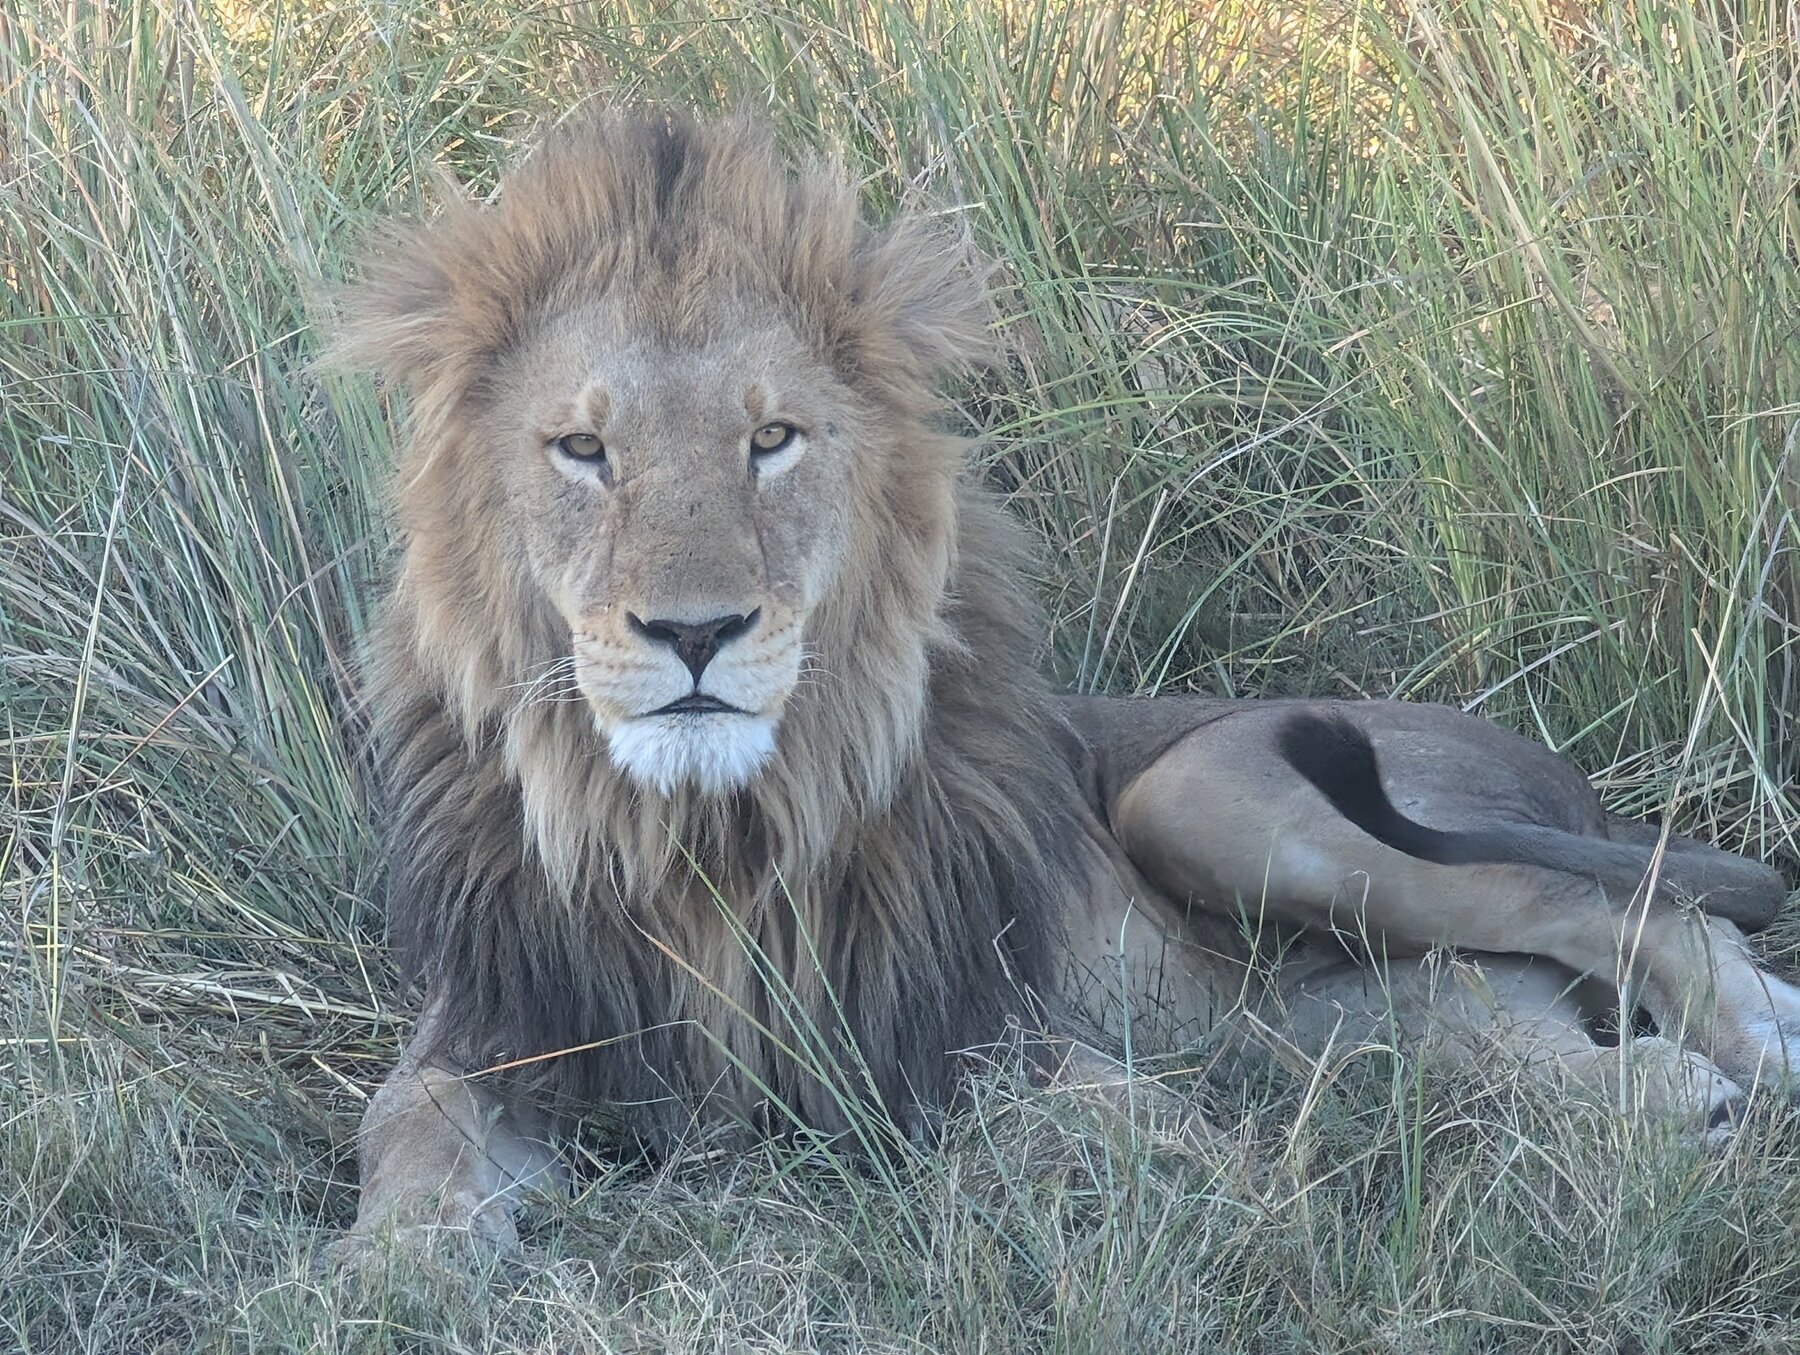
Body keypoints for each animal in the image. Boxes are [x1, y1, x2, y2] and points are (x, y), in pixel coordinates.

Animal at [332, 110, 1796, 1247]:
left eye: (773, 440)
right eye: (583, 449)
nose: (696, 631)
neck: (699, 837)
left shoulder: (971, 1034)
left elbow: (1119, 1126)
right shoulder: (495, 1026)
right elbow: (402, 1123)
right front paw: (391, 1273)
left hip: (1217, 797)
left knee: (1633, 908)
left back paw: (1740, 1064)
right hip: (1362, 1009)